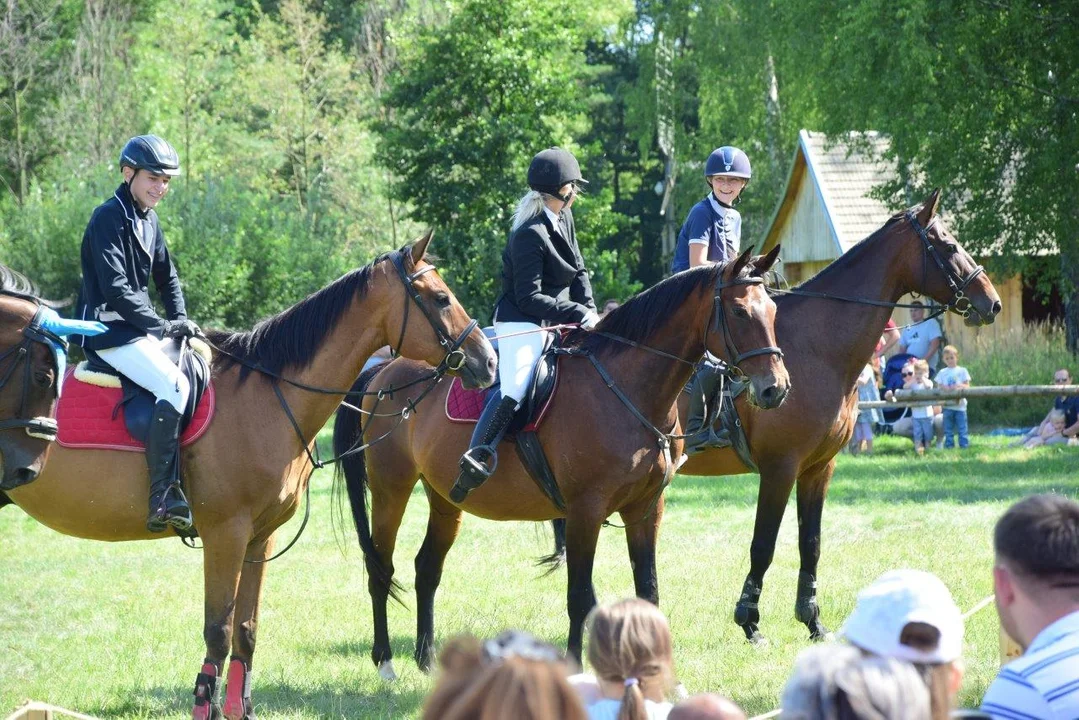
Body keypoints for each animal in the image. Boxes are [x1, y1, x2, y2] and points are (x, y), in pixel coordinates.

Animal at [1, 236, 494, 720]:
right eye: (441, 298)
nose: (487, 361)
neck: (267, 396)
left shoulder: (260, 537)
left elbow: (246, 628)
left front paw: (239, 706)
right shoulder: (226, 534)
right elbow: (218, 630)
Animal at [336, 249, 794, 677]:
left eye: (773, 311)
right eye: (739, 311)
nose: (775, 389)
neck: (627, 388)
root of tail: (384, 370)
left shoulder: (646, 509)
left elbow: (647, 593)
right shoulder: (584, 511)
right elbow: (581, 597)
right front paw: (574, 668)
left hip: (446, 499)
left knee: (427, 568)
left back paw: (427, 659)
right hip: (391, 489)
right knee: (381, 567)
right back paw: (385, 661)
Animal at [681, 191, 1001, 647]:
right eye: (950, 245)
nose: (992, 302)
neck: (816, 349)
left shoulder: (819, 468)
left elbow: (810, 544)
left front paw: (812, 622)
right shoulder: (780, 468)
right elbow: (763, 544)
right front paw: (750, 622)